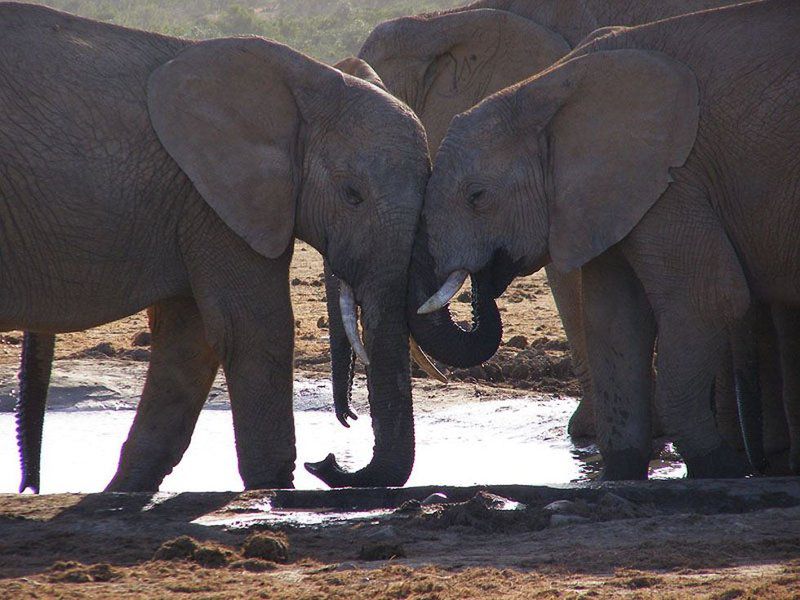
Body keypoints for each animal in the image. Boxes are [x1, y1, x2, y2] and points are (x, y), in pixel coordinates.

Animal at [1, 3, 432, 492]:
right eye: (352, 195)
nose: (328, 459)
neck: (308, 79)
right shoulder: (210, 195)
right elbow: (255, 329)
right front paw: (274, 488)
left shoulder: (196, 200)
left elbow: (189, 342)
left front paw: (123, 492)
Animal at [412, 0, 800, 478]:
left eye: (477, 197)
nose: (482, 280)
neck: (547, 90)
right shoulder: (611, 195)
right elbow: (613, 319)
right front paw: (621, 471)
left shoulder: (673, 181)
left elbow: (708, 299)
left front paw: (718, 467)